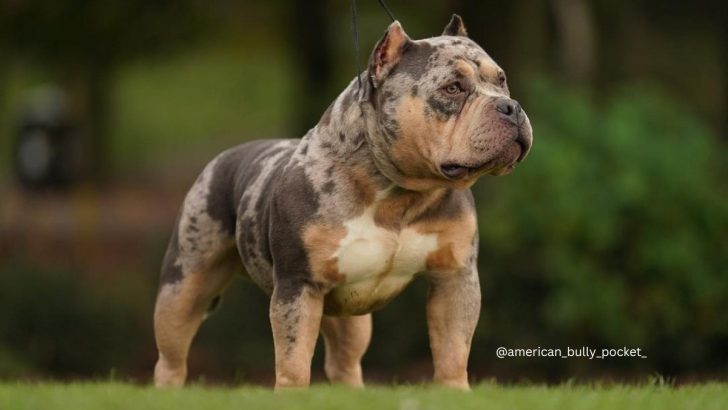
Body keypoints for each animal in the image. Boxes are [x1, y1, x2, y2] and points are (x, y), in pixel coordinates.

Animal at [154, 14, 532, 390]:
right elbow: (293, 359)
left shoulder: (454, 277)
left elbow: (453, 349)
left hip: (349, 312)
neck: (401, 193)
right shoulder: (298, 285)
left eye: (502, 81)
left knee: (344, 361)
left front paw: (455, 391)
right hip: (183, 286)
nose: (510, 106)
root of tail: (223, 157)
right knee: (171, 355)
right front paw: (290, 394)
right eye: (452, 88)